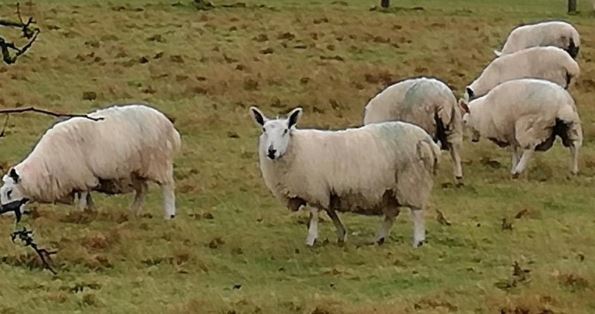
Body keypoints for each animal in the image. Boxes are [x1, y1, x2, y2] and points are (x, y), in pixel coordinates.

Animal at [0, 104, 182, 220]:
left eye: (9, 192)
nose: (4, 215)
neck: (44, 167)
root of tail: (170, 126)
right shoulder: (84, 177)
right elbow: (88, 197)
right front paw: (91, 211)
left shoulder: (81, 176)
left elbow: (83, 196)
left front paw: (79, 213)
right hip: (135, 171)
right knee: (142, 190)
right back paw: (132, 212)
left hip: (158, 162)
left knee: (167, 187)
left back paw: (169, 215)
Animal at [249, 106, 440, 248]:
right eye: (264, 129)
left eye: (285, 130)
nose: (271, 151)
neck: (295, 147)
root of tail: (426, 139)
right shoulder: (326, 189)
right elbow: (330, 211)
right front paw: (341, 234)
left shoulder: (314, 189)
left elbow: (314, 214)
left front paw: (311, 240)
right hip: (392, 188)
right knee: (392, 214)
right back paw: (379, 239)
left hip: (413, 181)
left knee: (417, 212)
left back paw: (418, 241)